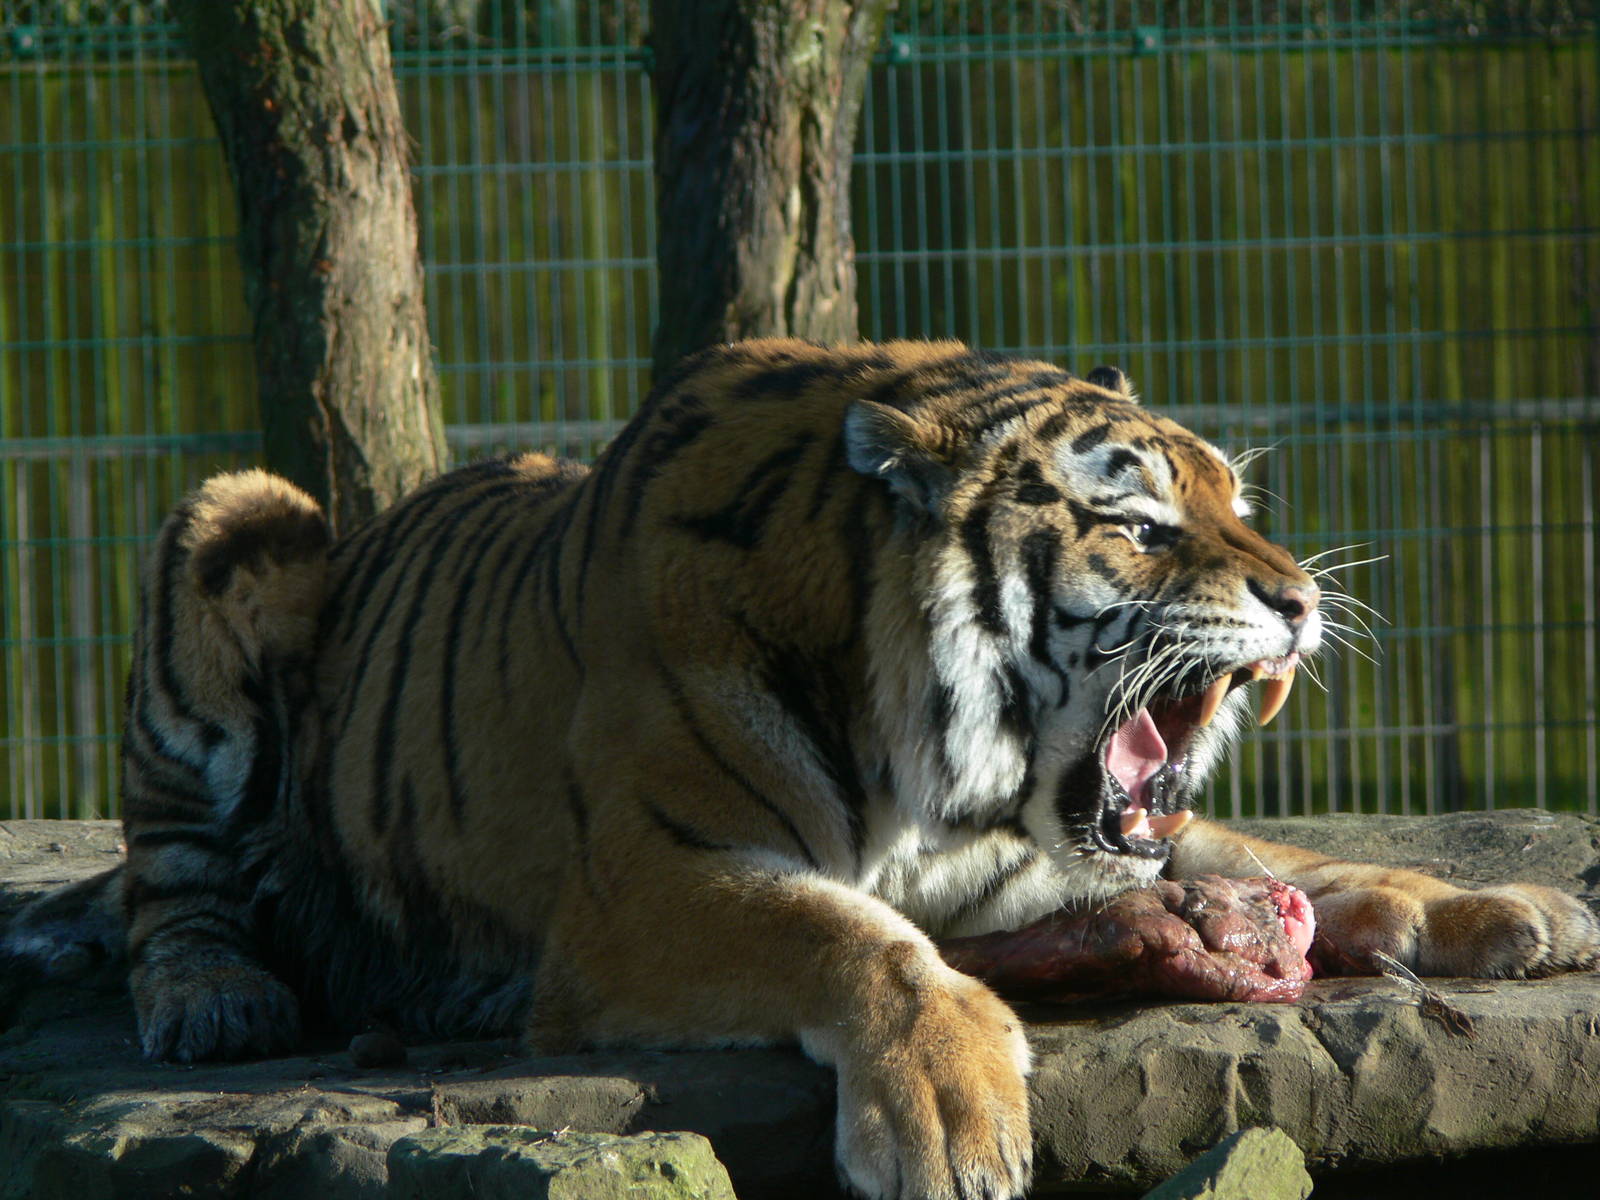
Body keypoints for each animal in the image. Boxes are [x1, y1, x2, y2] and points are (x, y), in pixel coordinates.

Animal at [6, 339, 1598, 1200]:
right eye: (1139, 525)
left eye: (1235, 502)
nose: (1302, 600)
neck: (945, 764)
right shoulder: (643, 887)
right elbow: (857, 939)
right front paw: (953, 1118)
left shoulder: (1033, 853)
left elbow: (1275, 857)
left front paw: (1501, 909)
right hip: (237, 519)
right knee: (168, 890)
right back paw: (220, 997)